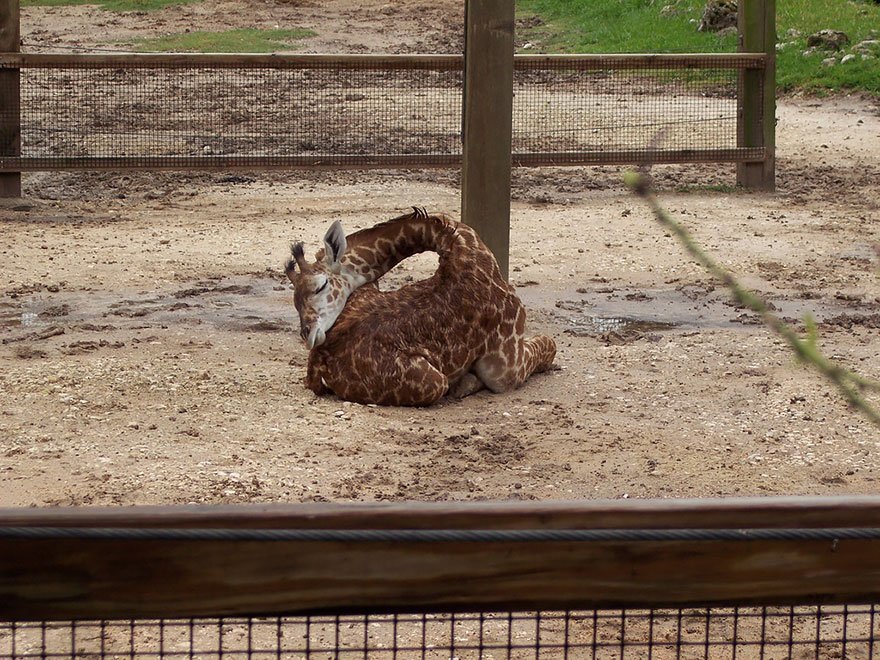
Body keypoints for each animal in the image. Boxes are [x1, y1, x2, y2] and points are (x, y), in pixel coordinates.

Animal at [286, 206, 552, 404]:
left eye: (320, 286)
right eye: (295, 302)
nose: (308, 335)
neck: (462, 244)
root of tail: (319, 361)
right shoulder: (506, 367)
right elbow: (549, 343)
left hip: (369, 289)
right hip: (434, 382)